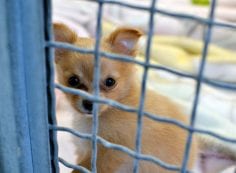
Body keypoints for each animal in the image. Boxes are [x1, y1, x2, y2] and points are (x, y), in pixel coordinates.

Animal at [53, 23, 197, 173]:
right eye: (73, 80)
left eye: (110, 82)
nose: (89, 103)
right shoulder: (84, 148)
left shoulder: (112, 153)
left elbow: (86, 167)